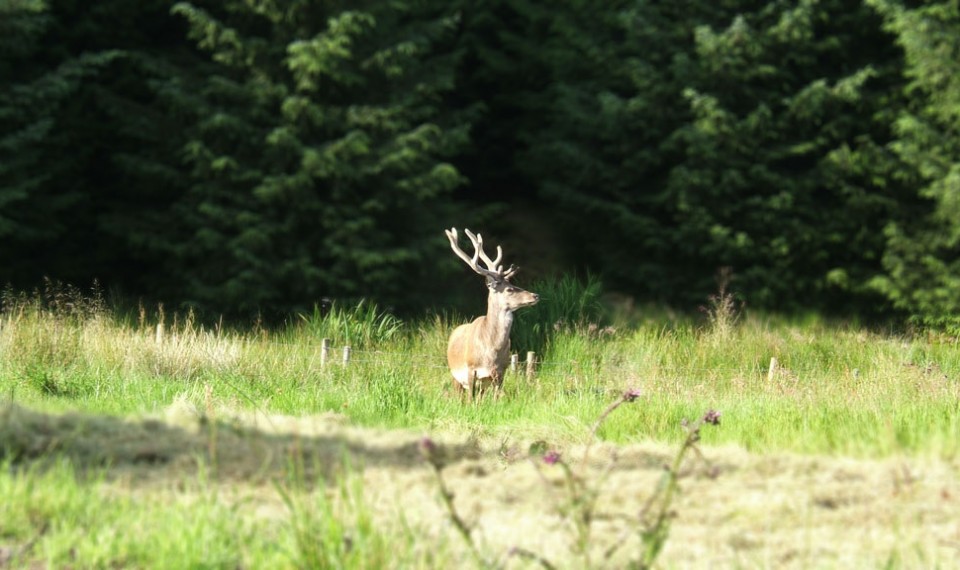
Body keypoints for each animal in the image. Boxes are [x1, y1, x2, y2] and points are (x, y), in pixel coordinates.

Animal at [445, 227, 539, 401]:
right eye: (509, 289)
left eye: (513, 284)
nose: (535, 295)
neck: (491, 350)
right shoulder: (471, 369)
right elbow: (469, 400)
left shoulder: (500, 371)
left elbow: (495, 399)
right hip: (455, 375)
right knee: (461, 397)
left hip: (483, 383)